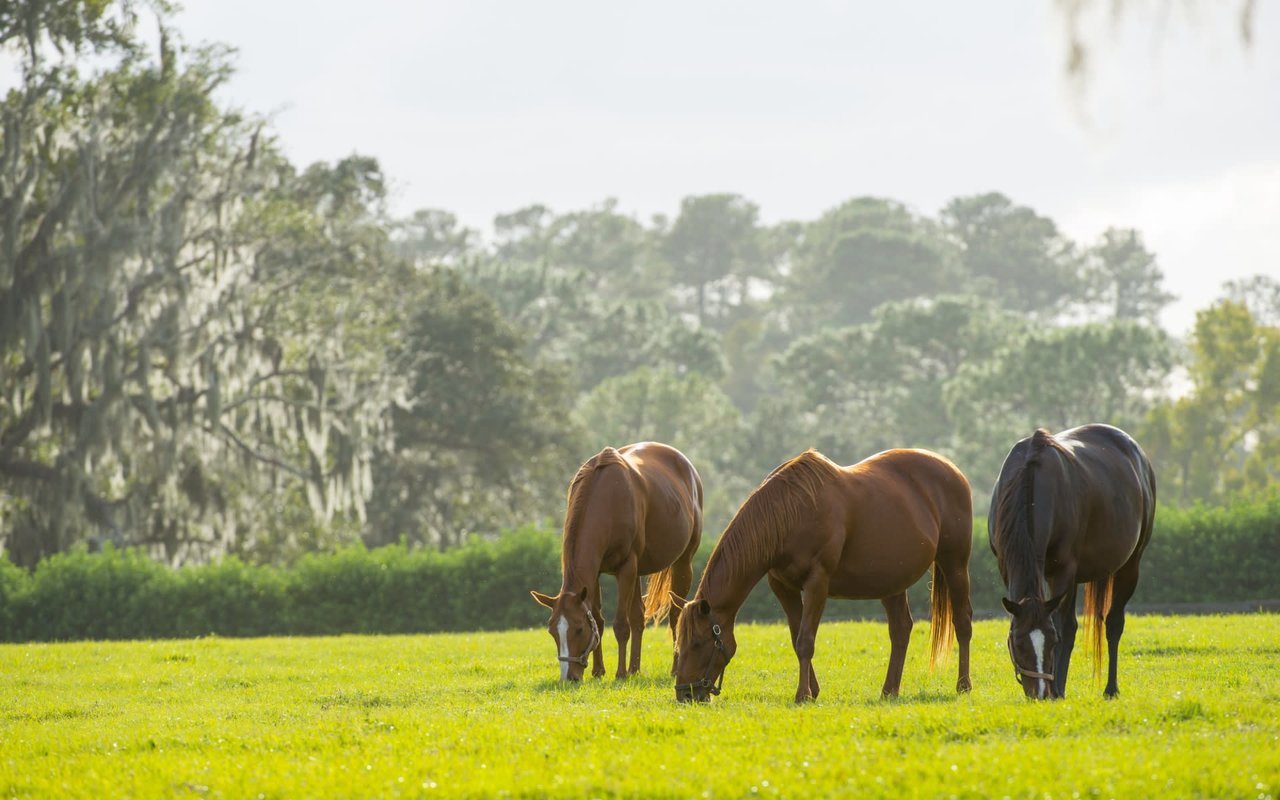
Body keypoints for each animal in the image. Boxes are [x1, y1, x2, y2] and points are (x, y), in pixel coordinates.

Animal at [532, 442, 706, 680]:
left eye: (578, 628)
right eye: (552, 631)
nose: (569, 678)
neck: (607, 498)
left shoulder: (626, 568)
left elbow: (621, 625)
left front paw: (620, 673)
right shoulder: (596, 574)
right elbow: (599, 620)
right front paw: (598, 671)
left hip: (681, 564)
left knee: (675, 615)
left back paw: (673, 668)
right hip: (638, 573)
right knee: (639, 617)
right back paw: (635, 668)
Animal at [670, 445, 967, 701]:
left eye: (697, 643)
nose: (685, 695)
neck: (791, 512)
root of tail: (953, 470)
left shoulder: (817, 583)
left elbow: (806, 641)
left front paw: (802, 695)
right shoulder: (783, 587)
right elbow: (796, 638)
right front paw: (812, 691)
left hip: (955, 565)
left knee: (962, 623)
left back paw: (963, 686)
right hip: (892, 583)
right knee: (901, 630)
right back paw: (889, 691)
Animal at [988, 424, 1162, 696]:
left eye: (1051, 641)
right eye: (1018, 642)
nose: (1040, 693)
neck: (1031, 482)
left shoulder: (1063, 572)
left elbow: (1066, 628)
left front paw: (1058, 689)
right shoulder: (1008, 567)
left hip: (1129, 566)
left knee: (1113, 623)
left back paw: (1110, 688)